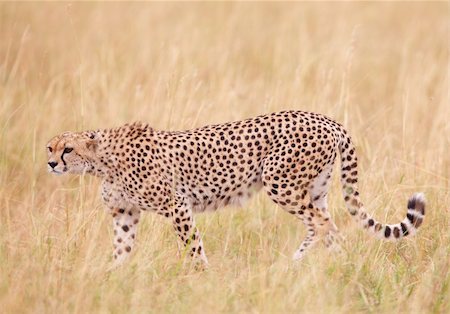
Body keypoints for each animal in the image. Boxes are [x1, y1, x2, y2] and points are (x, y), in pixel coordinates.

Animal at [45, 111, 426, 268]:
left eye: (68, 149)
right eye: (50, 147)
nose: (50, 164)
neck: (101, 161)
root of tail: (325, 118)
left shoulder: (176, 205)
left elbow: (193, 247)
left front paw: (202, 278)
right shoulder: (125, 213)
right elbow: (121, 250)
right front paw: (113, 278)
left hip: (280, 182)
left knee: (322, 225)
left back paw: (299, 263)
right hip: (314, 190)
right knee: (330, 228)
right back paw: (332, 266)